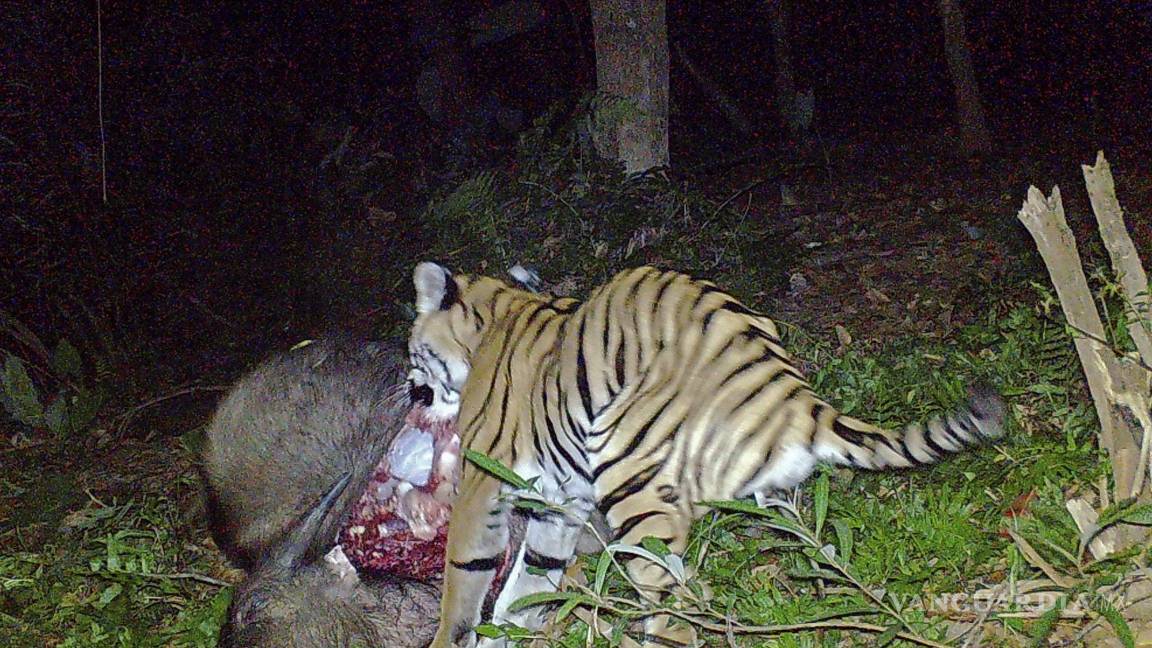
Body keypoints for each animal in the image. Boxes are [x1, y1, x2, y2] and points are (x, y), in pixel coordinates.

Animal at [407, 261, 1006, 648]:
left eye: (411, 348)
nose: (411, 390)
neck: (494, 321)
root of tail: (795, 394)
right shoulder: (559, 504)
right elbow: (526, 588)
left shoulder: (483, 487)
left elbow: (466, 580)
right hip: (772, 500)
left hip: (633, 482)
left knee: (676, 610)